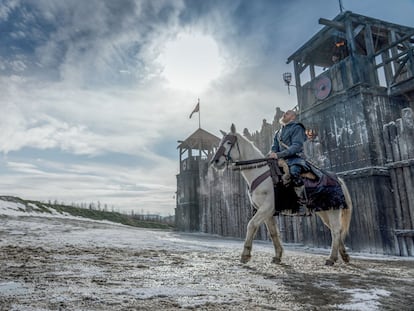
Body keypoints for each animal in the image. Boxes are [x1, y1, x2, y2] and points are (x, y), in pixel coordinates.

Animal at [210, 124, 352, 266]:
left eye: (229, 143)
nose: (215, 161)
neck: (260, 172)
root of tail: (337, 179)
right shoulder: (268, 213)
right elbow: (273, 232)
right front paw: (277, 256)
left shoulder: (266, 208)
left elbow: (251, 225)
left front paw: (245, 255)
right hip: (325, 211)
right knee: (335, 230)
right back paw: (344, 256)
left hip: (333, 210)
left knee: (335, 231)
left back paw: (331, 258)